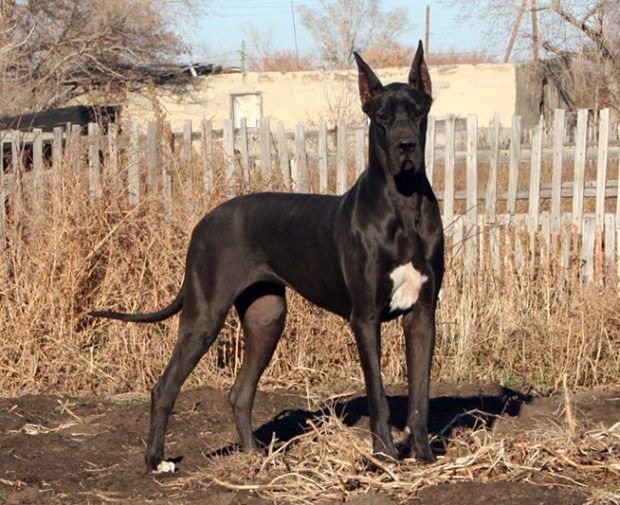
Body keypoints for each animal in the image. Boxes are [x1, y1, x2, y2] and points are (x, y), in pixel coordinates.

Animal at [90, 41, 444, 473]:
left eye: (418, 113)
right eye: (383, 118)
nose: (405, 145)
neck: (405, 205)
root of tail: (203, 221)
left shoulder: (423, 314)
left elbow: (420, 394)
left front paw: (424, 455)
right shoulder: (366, 317)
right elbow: (377, 392)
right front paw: (383, 458)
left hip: (266, 317)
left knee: (240, 393)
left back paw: (254, 457)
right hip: (204, 315)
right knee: (164, 387)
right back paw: (157, 461)